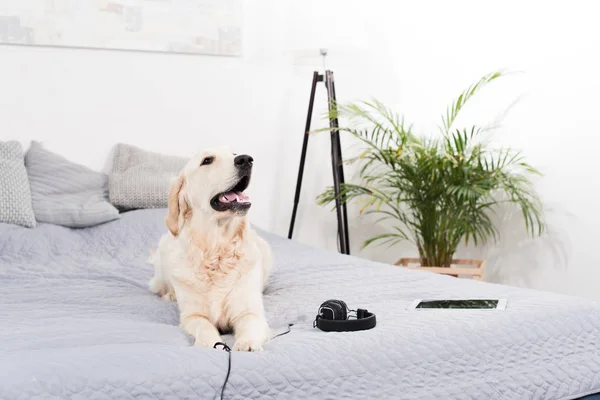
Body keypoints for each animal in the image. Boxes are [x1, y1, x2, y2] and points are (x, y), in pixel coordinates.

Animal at [149, 147, 274, 350]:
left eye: (234, 154)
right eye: (207, 160)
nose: (246, 159)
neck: (217, 250)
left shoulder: (250, 312)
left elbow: (250, 324)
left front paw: (247, 345)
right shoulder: (192, 316)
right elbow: (204, 326)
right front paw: (211, 343)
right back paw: (170, 294)